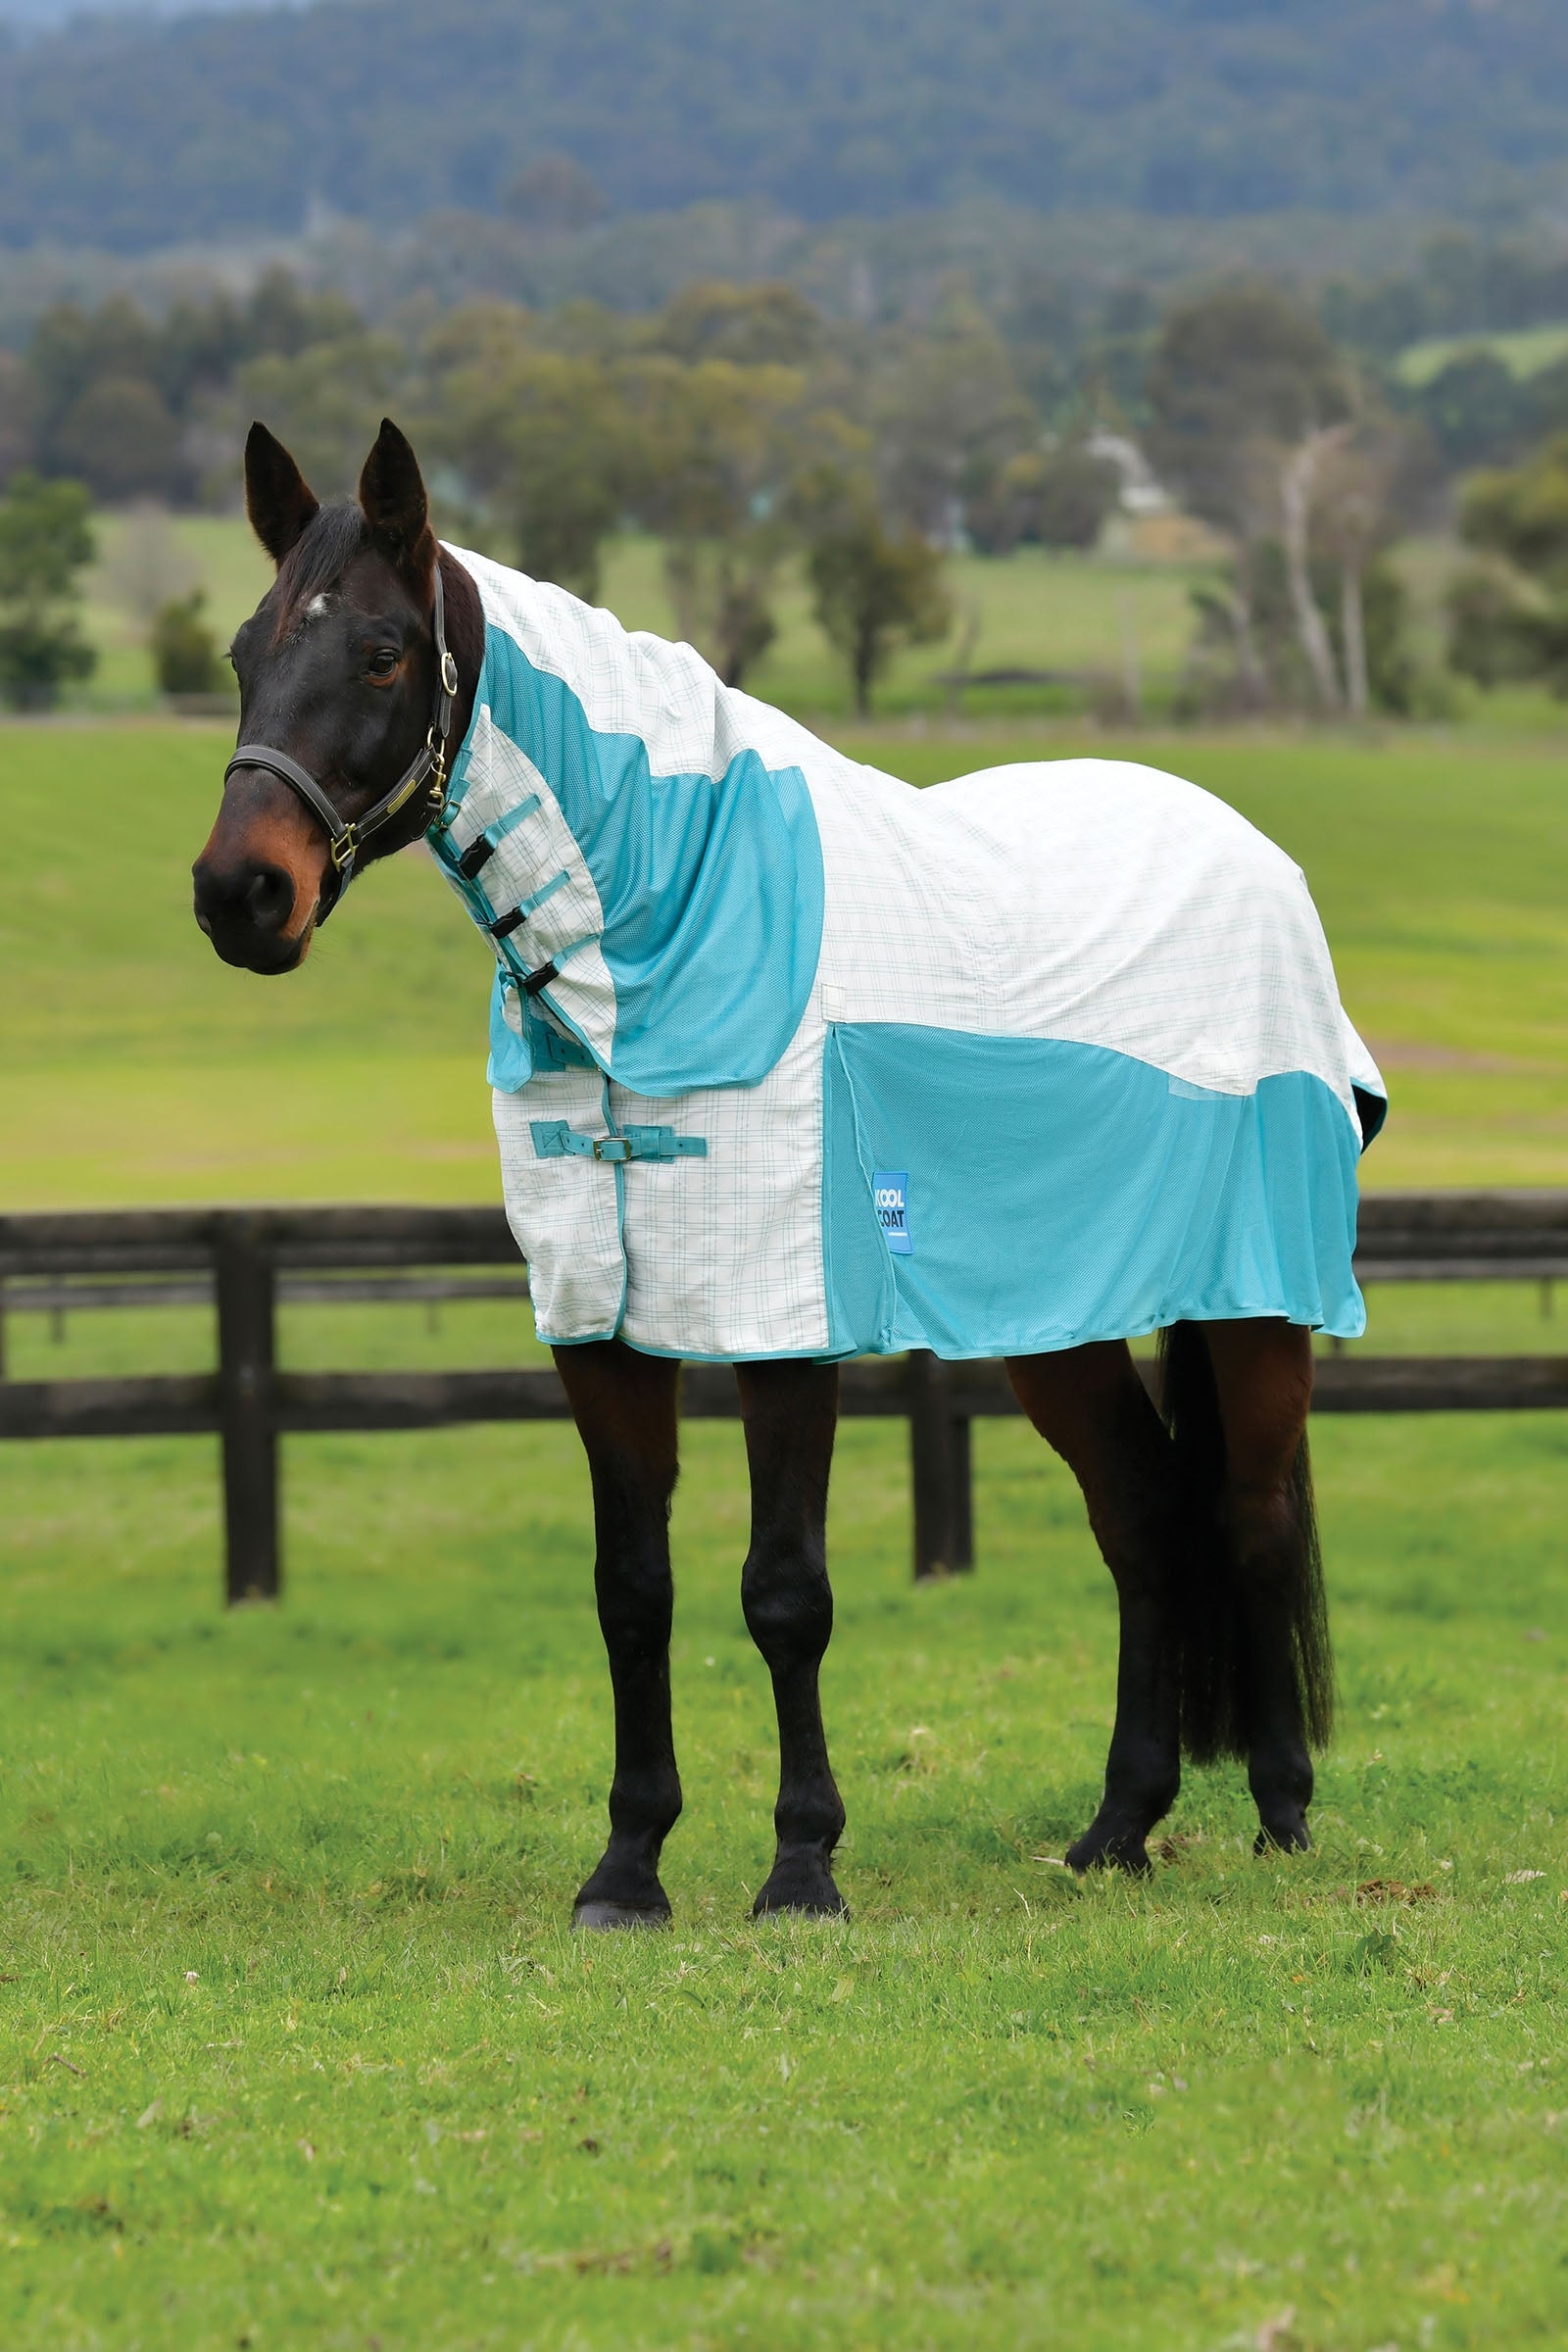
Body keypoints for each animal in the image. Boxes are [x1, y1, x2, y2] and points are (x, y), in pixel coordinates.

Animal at [192, 418, 1385, 1928]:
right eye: (244, 651)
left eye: (385, 654)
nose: (241, 896)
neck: (669, 912)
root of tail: (1257, 860)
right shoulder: (598, 1325)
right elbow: (631, 1590)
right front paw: (627, 1869)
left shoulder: (782, 1320)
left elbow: (783, 1592)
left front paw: (803, 1867)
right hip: (1054, 1321)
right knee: (1144, 1518)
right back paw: (1117, 1827)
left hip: (1256, 1299)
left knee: (1251, 1512)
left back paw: (1283, 1812)